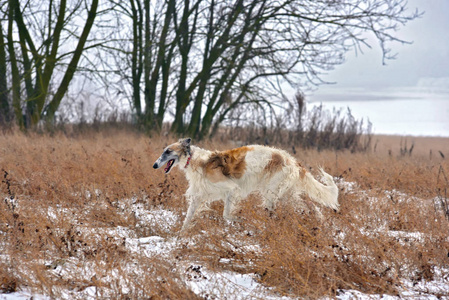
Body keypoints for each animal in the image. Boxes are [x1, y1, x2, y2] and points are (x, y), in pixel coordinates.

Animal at [152, 137, 338, 231]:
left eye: (168, 151)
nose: (154, 165)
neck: (197, 161)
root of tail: (293, 161)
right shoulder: (199, 195)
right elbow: (188, 218)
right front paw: (179, 236)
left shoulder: (231, 189)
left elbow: (226, 214)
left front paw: (239, 220)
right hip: (286, 194)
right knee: (312, 207)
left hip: (273, 193)